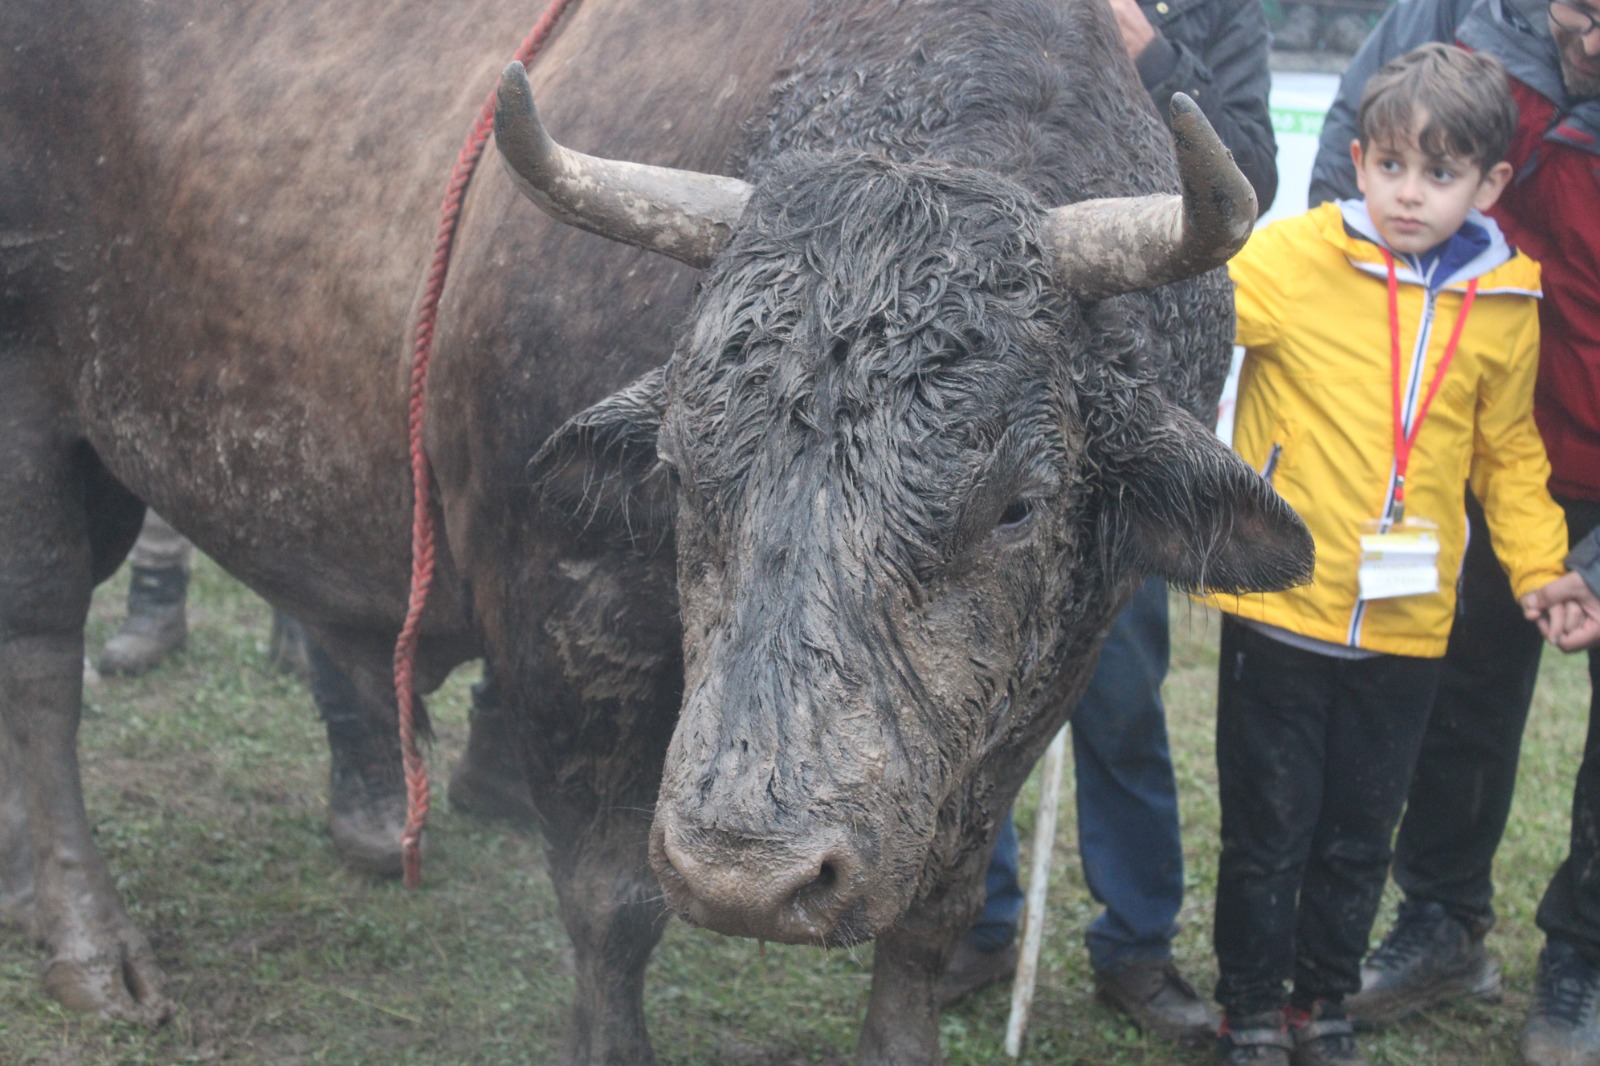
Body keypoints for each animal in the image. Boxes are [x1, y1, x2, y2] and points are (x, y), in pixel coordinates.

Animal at [0, 0, 1312, 1056]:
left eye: (1015, 504)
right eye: (680, 469)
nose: (752, 877)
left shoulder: (1045, 676)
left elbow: (926, 928)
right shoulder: (568, 616)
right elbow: (611, 902)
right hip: (36, 435)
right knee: (42, 662)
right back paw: (90, 945)